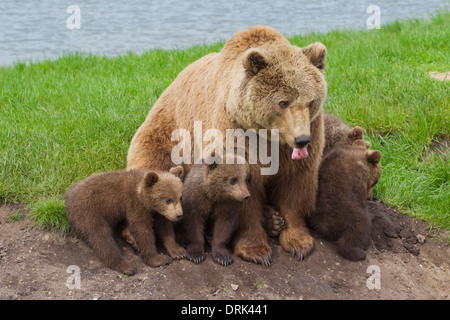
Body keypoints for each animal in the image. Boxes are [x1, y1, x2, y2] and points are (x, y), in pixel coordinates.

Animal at [126, 25, 326, 264]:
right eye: (283, 103)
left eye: (311, 101)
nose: (302, 139)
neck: (269, 135)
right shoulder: (236, 134)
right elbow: (241, 192)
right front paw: (256, 250)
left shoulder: (302, 140)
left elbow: (295, 186)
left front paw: (299, 242)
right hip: (166, 135)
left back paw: (273, 220)